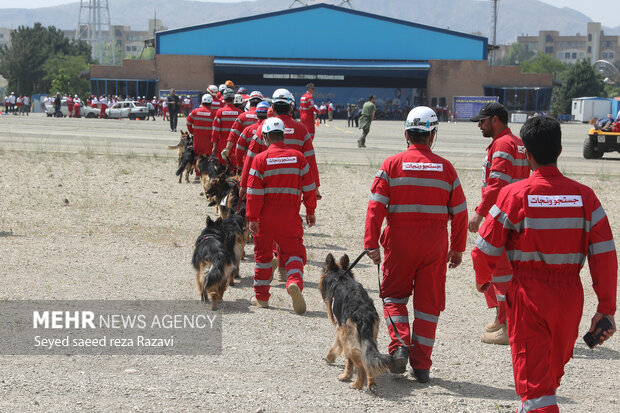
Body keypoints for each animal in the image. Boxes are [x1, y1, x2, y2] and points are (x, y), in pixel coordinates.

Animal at [320, 251, 392, 392]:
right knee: (368, 360)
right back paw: (371, 384)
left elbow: (338, 349)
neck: (340, 276)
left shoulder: (339, 328)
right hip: (369, 339)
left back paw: (354, 383)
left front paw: (330, 358)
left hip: (348, 339)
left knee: (360, 365)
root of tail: (363, 314)